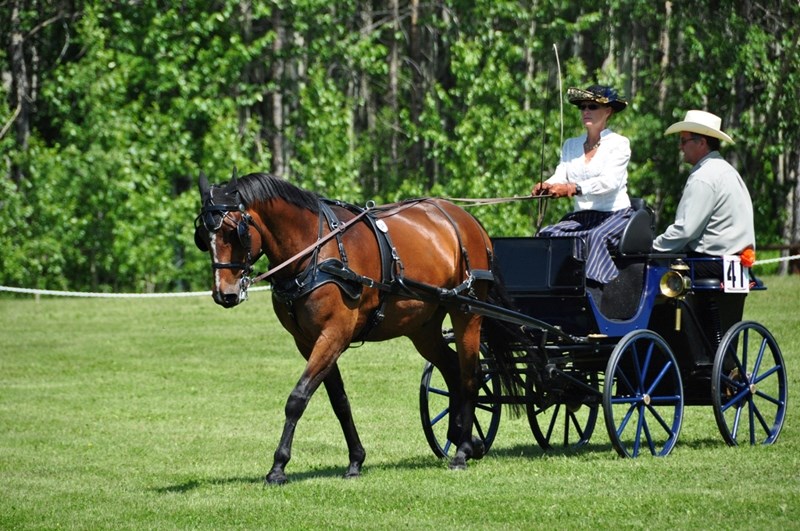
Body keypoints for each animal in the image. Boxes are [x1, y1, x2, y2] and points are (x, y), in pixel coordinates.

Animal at [192, 171, 520, 486]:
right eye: (204, 235)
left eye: (235, 231)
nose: (225, 294)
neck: (314, 250)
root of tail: (468, 221)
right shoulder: (308, 342)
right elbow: (339, 401)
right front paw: (355, 460)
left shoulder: (334, 334)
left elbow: (297, 398)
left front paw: (278, 468)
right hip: (423, 327)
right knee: (452, 370)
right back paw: (464, 437)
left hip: (467, 313)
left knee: (470, 374)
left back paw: (462, 451)